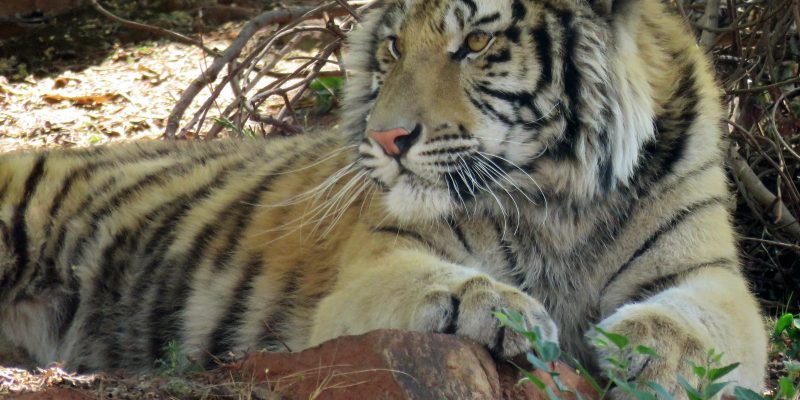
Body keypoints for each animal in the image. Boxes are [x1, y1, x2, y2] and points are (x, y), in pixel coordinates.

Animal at [0, 0, 767, 397]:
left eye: (477, 42)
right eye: (394, 46)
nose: (387, 137)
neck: (553, 193)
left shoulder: (709, 274)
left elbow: (713, 324)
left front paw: (645, 346)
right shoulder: (378, 268)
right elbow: (447, 288)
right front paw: (505, 314)